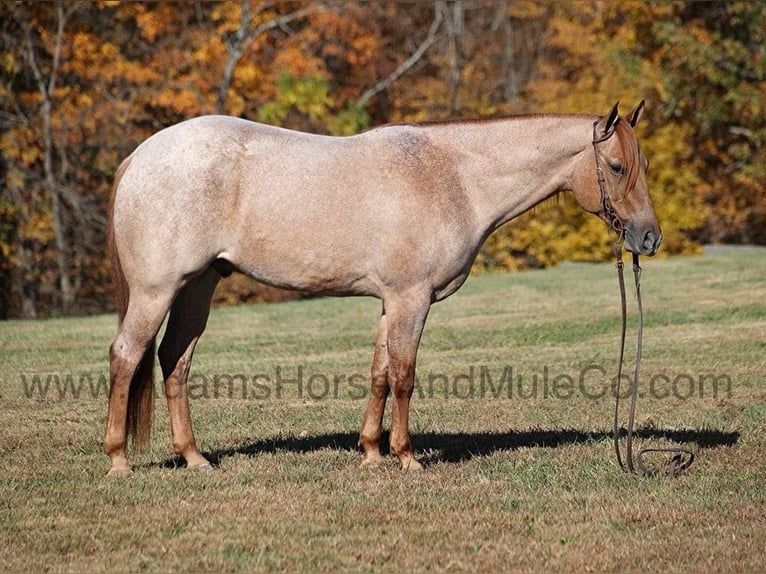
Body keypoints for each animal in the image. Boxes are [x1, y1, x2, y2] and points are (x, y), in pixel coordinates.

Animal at [104, 101, 660, 475]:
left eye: (642, 167)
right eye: (616, 167)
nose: (649, 237)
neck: (453, 177)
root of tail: (139, 157)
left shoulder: (391, 302)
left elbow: (378, 373)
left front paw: (371, 452)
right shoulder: (411, 298)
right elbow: (404, 376)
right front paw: (407, 457)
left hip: (198, 286)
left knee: (175, 359)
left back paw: (195, 458)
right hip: (157, 290)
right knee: (127, 355)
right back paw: (118, 460)